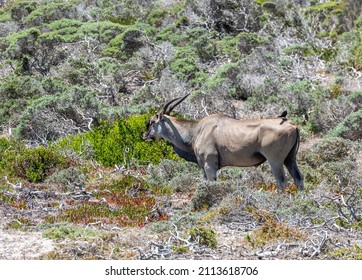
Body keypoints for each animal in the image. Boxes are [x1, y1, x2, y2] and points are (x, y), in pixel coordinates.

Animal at [143, 94, 304, 192]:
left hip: (275, 160)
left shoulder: (209, 165)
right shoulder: (204, 167)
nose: (144, 135)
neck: (196, 131)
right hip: (290, 159)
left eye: (152, 122)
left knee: (281, 181)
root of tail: (291, 124)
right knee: (298, 178)